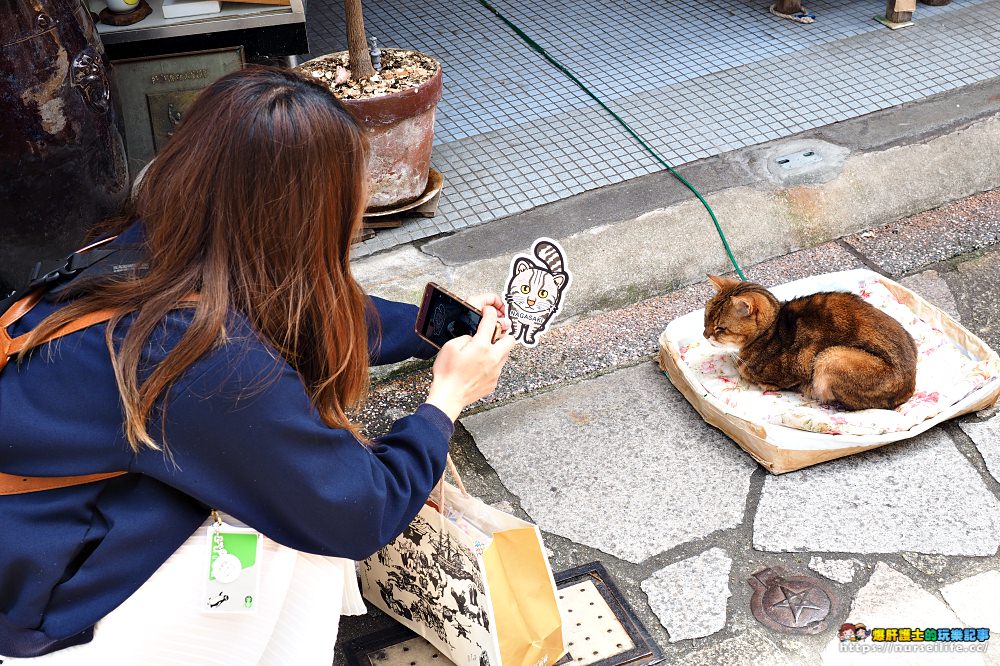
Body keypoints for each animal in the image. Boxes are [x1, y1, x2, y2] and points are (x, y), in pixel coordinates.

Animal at [704, 274, 916, 410]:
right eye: (705, 318)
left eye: (720, 328)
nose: (705, 335)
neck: (771, 329)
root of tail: (910, 386)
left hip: (831, 357)